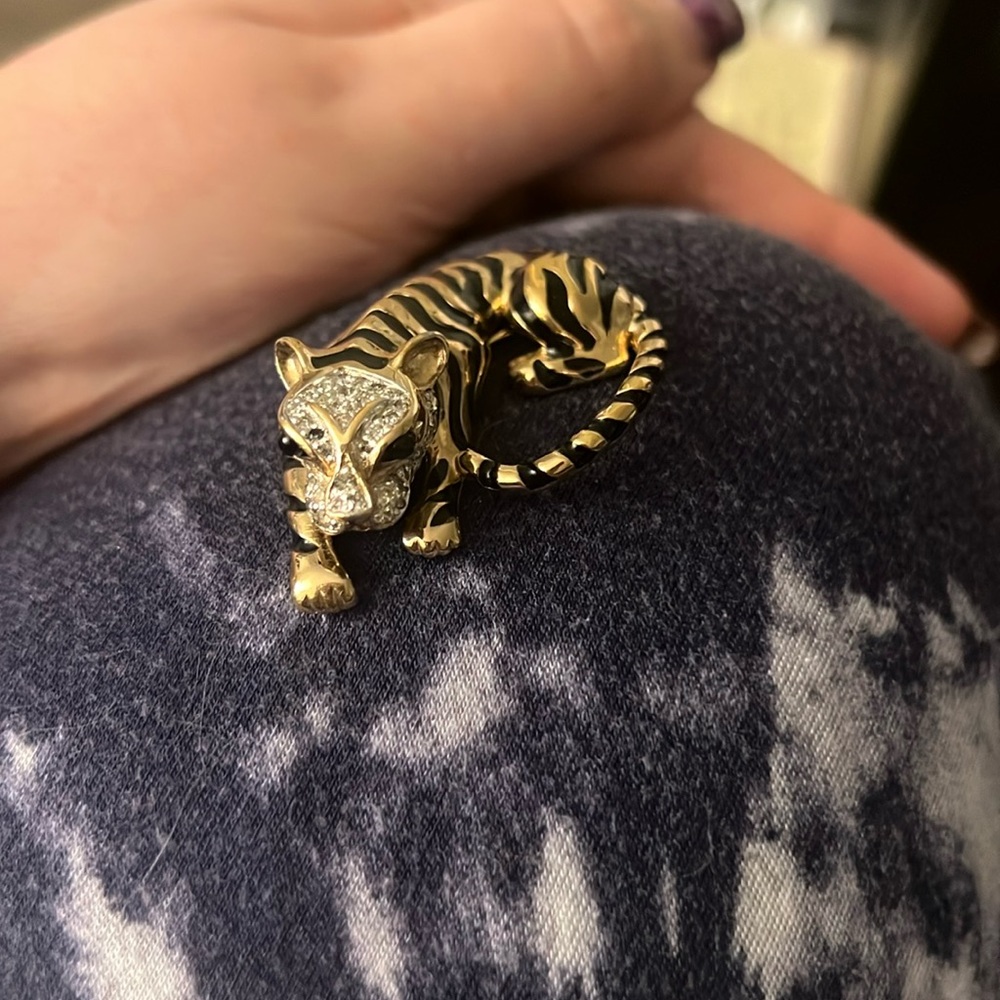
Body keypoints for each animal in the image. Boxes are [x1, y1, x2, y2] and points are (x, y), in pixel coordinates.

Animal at [275, 251, 667, 613]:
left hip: (534, 288)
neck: (367, 346)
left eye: (399, 445)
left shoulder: (451, 427)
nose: (352, 518)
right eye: (291, 444)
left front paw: (430, 534)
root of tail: (618, 288)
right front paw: (321, 584)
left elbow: (442, 477)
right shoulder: (297, 474)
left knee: (606, 349)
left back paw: (530, 370)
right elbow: (304, 521)